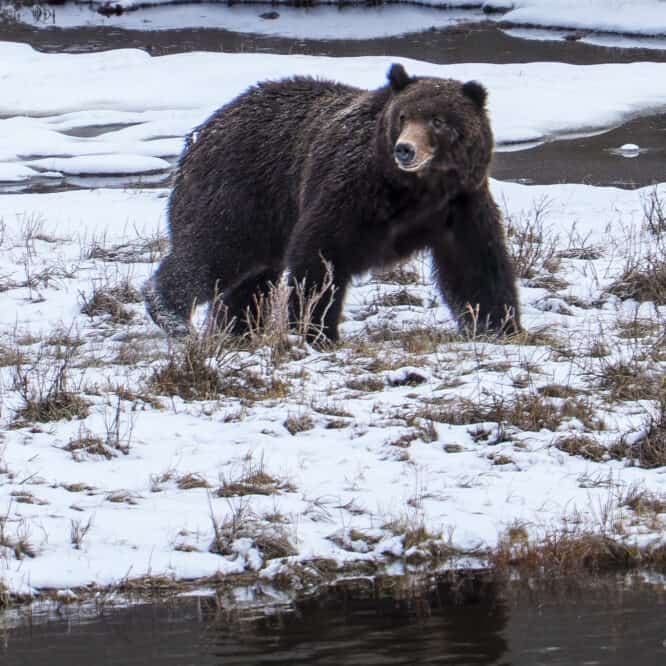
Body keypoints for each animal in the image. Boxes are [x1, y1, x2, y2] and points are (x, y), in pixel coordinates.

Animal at [143, 63, 520, 342]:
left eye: (438, 120)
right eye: (403, 116)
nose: (405, 149)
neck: (416, 189)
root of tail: (201, 132)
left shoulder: (459, 203)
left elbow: (477, 265)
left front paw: (500, 325)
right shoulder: (352, 190)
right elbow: (320, 254)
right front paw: (317, 329)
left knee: (248, 280)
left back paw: (236, 329)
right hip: (241, 192)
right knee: (214, 251)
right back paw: (171, 314)